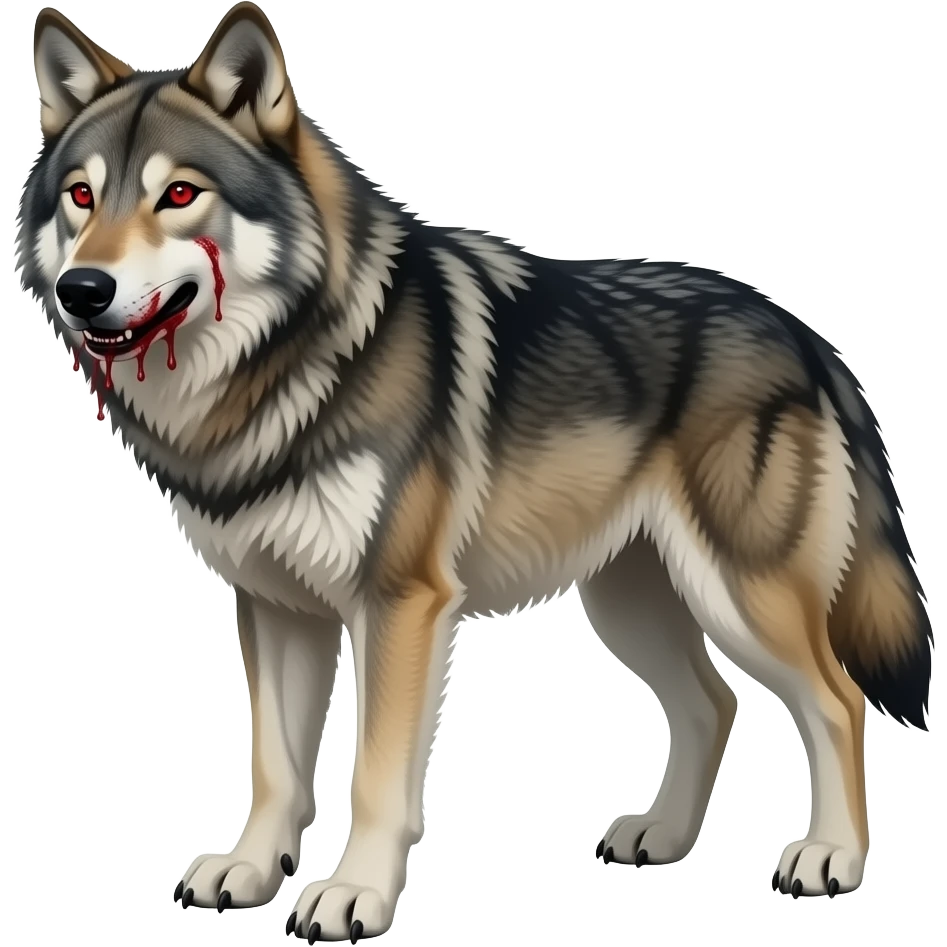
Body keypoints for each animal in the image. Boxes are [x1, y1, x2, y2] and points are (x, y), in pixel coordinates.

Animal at [16, 1, 934, 940]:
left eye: (178, 193)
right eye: (82, 195)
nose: (85, 289)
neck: (285, 366)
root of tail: (804, 334)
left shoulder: (400, 602)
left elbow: (375, 774)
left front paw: (353, 894)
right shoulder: (275, 605)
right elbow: (274, 764)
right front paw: (248, 870)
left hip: (740, 595)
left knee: (835, 701)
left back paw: (828, 858)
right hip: (630, 603)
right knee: (714, 704)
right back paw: (663, 837)